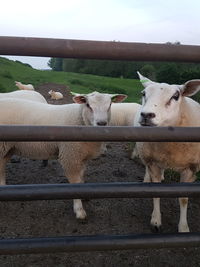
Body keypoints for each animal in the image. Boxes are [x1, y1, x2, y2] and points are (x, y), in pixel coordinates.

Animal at [0, 91, 126, 221]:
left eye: (110, 104)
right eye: (88, 105)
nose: (102, 124)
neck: (80, 118)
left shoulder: (81, 157)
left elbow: (81, 177)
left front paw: (84, 195)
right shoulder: (70, 156)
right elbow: (75, 183)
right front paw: (79, 210)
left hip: (8, 148)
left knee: (2, 167)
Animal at [134, 72, 200, 233]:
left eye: (176, 96)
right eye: (143, 93)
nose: (146, 115)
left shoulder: (191, 168)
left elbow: (183, 199)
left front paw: (183, 227)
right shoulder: (153, 162)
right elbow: (156, 191)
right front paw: (156, 221)